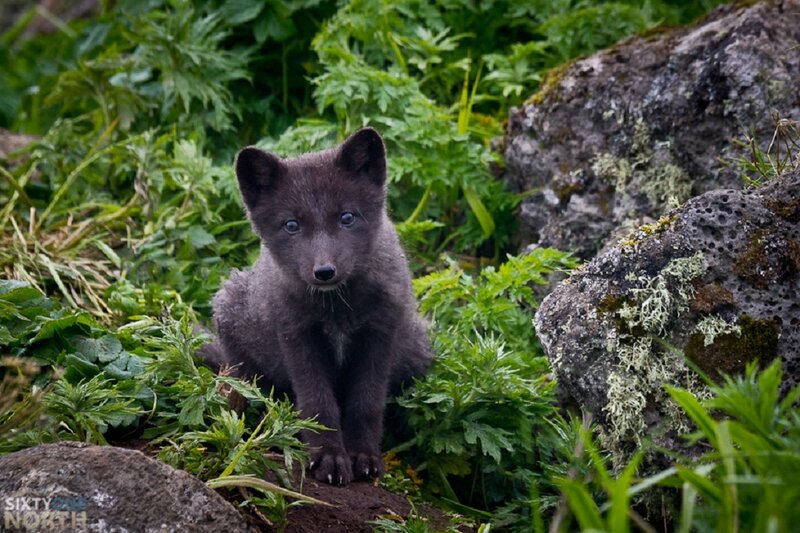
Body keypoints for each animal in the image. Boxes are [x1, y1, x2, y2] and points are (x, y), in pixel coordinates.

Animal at [200, 128, 432, 485]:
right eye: (291, 225)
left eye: (347, 217)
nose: (324, 271)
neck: (336, 308)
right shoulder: (297, 336)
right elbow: (318, 403)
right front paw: (328, 458)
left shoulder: (380, 334)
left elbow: (367, 403)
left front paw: (364, 457)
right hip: (231, 315)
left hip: (417, 350)